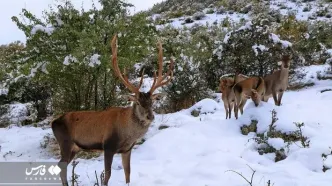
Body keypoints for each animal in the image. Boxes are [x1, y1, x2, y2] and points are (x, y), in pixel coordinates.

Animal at [51, 34, 175, 186]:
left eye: (152, 102)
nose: (150, 116)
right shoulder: (108, 146)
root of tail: (53, 122)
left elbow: (128, 172)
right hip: (65, 142)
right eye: (138, 102)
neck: (126, 135)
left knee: (61, 166)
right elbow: (107, 175)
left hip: (74, 148)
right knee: (61, 166)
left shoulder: (127, 149)